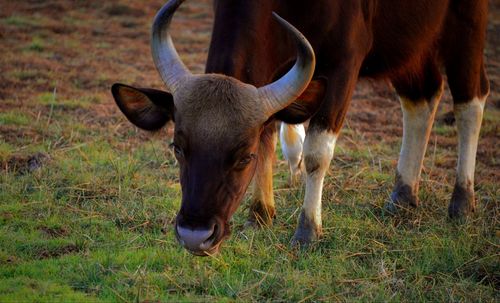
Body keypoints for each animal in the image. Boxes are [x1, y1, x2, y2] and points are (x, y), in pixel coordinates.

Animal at [111, 0, 490, 256]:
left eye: (243, 157)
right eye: (178, 148)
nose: (194, 234)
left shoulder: (344, 63)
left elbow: (316, 151)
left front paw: (307, 231)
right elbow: (268, 133)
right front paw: (260, 214)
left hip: (467, 22)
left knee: (471, 98)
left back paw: (462, 202)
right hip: (408, 43)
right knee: (422, 96)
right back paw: (403, 196)